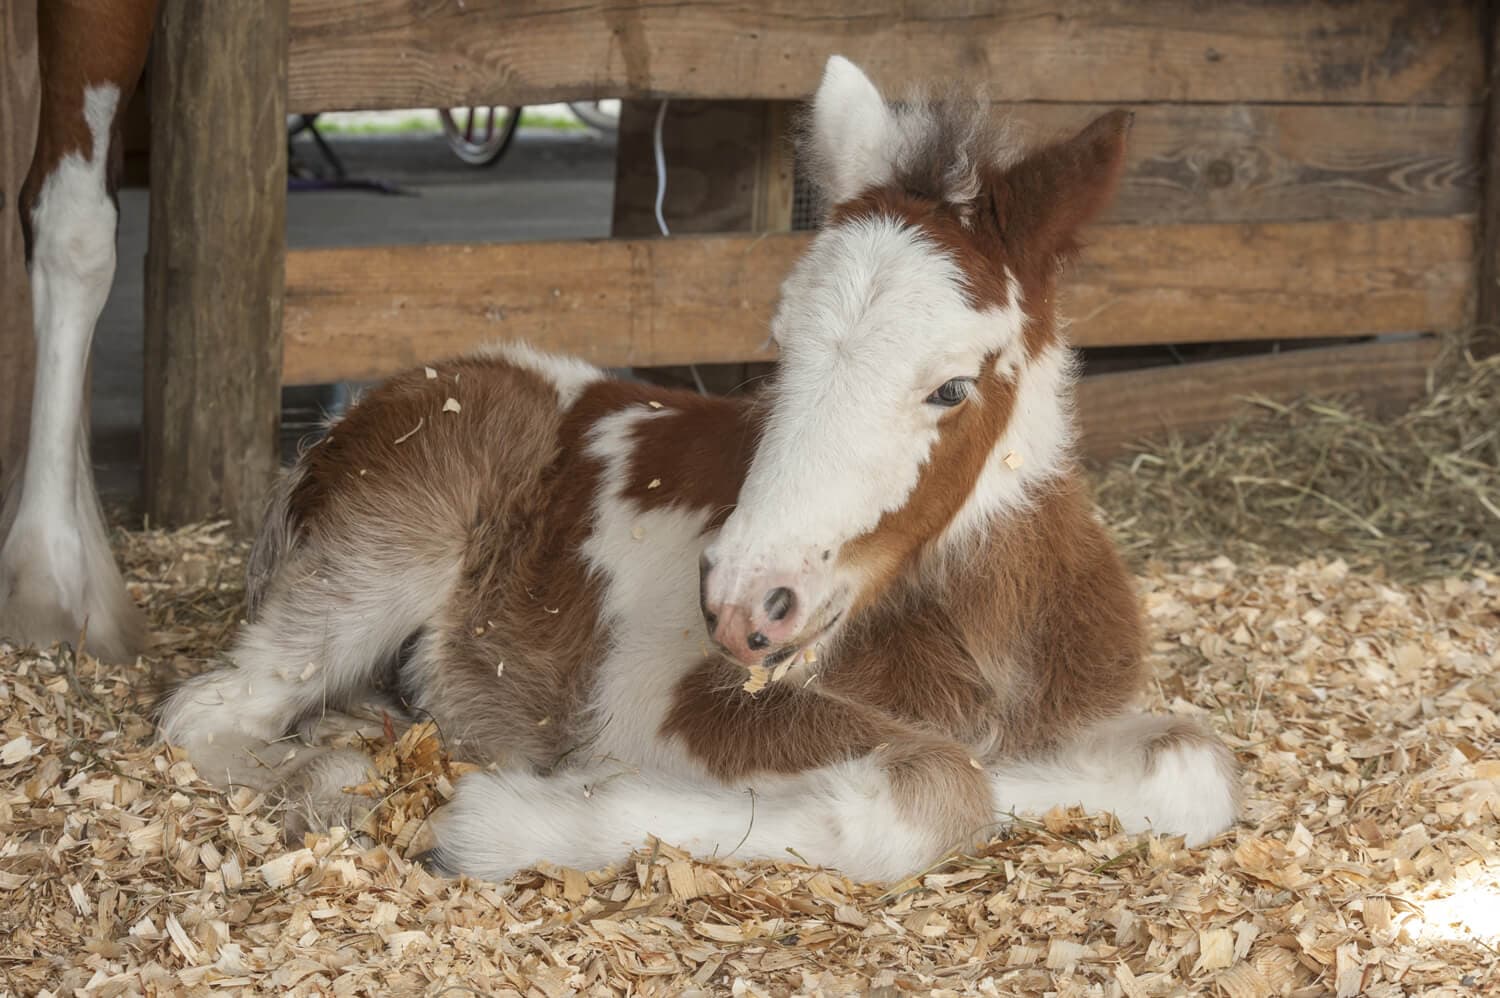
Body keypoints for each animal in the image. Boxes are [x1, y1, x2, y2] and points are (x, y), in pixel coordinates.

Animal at [164, 56, 1242, 882]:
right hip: (375, 557)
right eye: (781, 351)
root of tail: (353, 413)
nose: (741, 601)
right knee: (208, 710)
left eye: (950, 388)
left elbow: (1195, 762)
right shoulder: (671, 704)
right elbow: (943, 784)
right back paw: (345, 783)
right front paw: (499, 818)